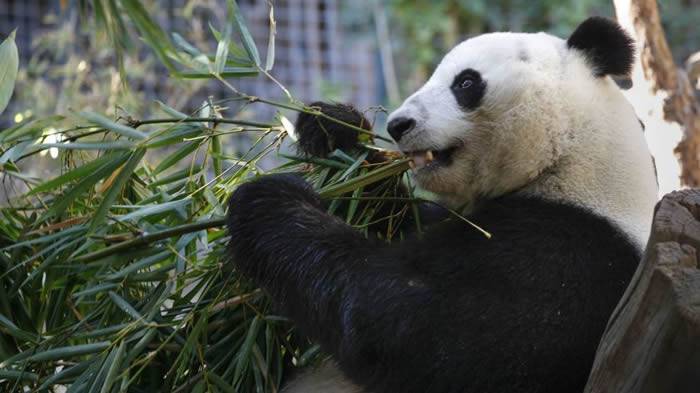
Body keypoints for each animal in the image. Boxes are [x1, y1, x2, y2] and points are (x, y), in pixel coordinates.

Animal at [227, 16, 660, 392]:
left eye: (466, 82)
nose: (397, 125)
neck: (570, 155)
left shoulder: (567, 256)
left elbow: (414, 329)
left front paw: (267, 200)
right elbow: (394, 213)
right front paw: (333, 129)